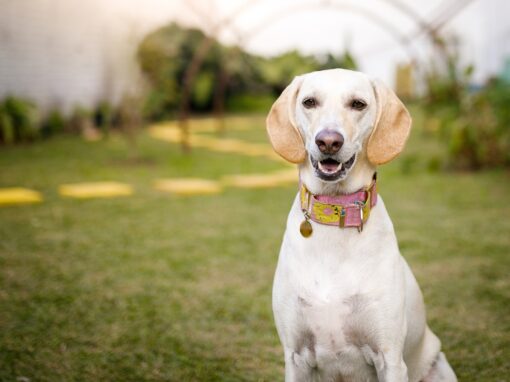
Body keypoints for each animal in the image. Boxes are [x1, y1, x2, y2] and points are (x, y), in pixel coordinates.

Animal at [266, 69, 458, 382]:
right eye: (309, 102)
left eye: (358, 104)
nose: (328, 141)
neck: (335, 213)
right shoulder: (295, 358)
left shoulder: (390, 359)